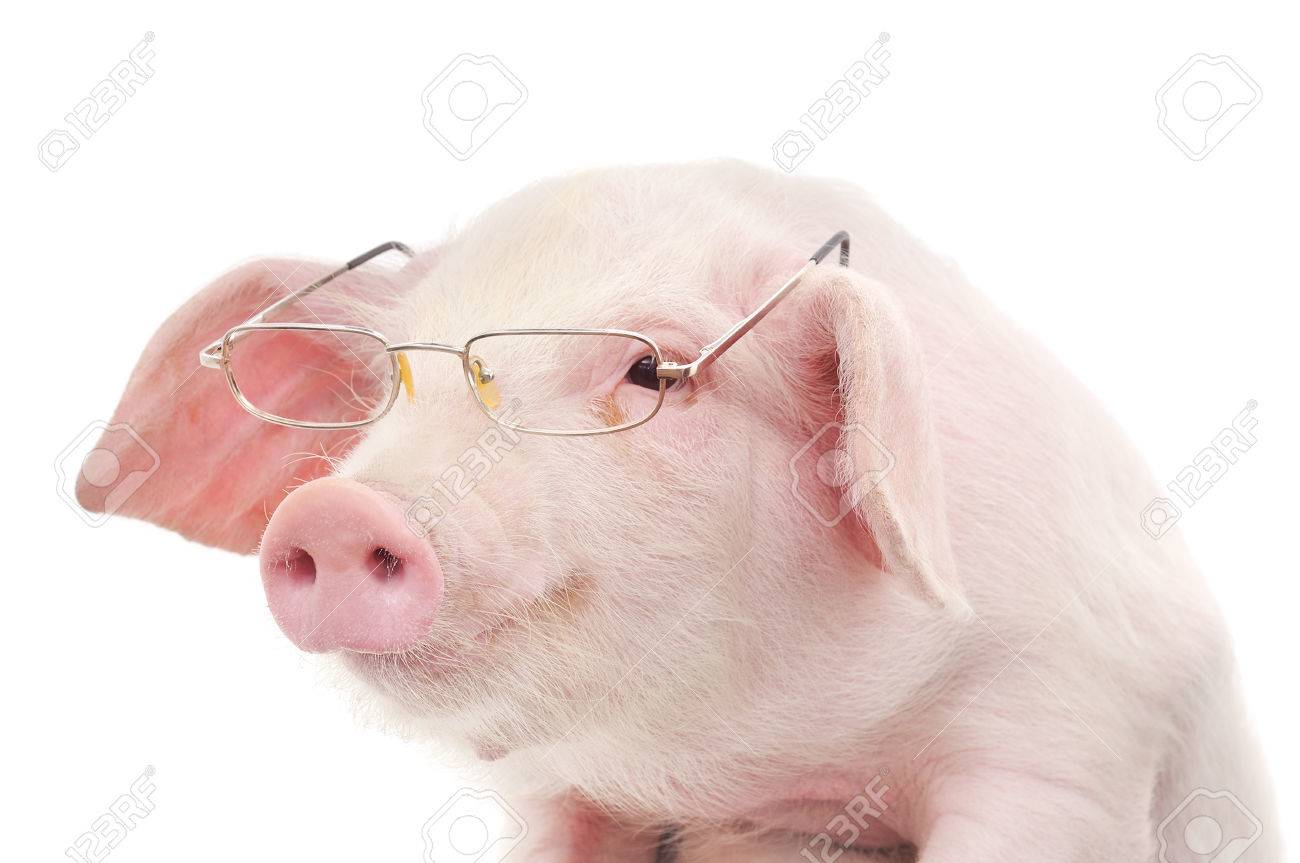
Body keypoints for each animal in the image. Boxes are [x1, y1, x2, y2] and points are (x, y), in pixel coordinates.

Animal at [80, 160, 1278, 861]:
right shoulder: (560, 791)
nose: (333, 510)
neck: (773, 777)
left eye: (651, 369)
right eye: (392, 378)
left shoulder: (1076, 719)